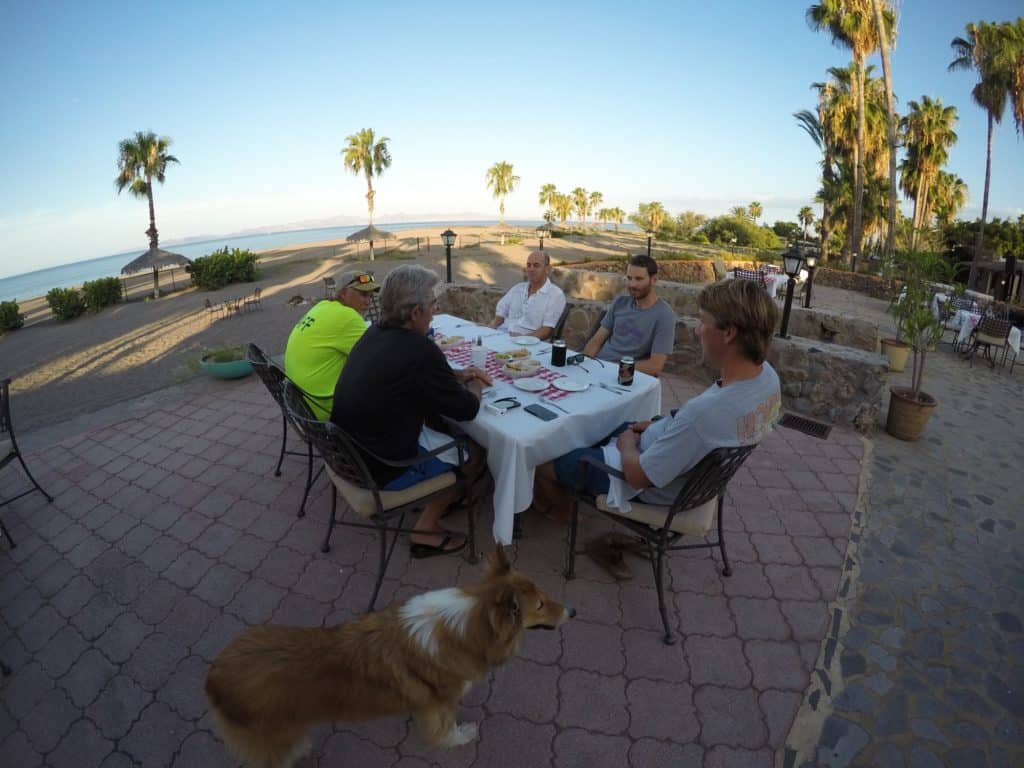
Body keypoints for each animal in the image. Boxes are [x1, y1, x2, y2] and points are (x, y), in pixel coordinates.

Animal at [203, 548, 573, 768]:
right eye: (540, 605)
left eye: (542, 595)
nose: (572, 611)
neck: (468, 624)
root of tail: (213, 677)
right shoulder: (440, 703)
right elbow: (445, 729)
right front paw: (461, 736)